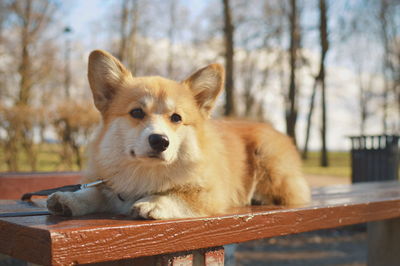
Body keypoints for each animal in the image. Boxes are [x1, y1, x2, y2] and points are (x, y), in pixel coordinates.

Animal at [46, 50, 310, 220]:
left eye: (176, 118)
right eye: (137, 112)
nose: (159, 141)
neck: (146, 174)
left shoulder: (213, 194)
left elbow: (179, 196)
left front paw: (153, 202)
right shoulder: (108, 185)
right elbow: (94, 192)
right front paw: (69, 199)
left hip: (267, 157)